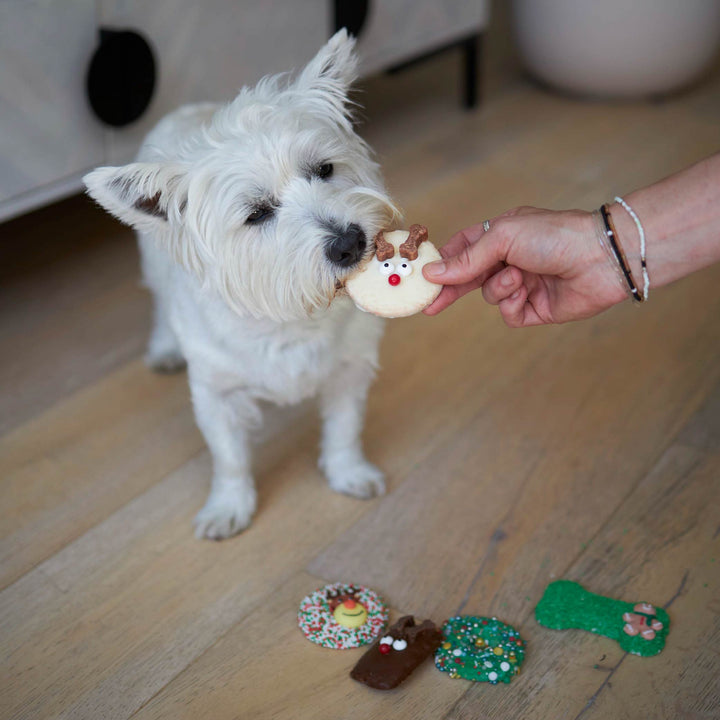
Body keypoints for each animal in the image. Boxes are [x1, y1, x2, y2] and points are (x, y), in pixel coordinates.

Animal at [86, 32, 400, 540]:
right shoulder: (217, 394)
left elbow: (344, 428)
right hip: (153, 265)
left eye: (325, 170)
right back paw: (164, 347)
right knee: (159, 304)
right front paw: (228, 507)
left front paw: (348, 472)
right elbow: (229, 457)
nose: (351, 242)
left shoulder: (349, 369)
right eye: (257, 214)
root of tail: (188, 107)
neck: (290, 311)